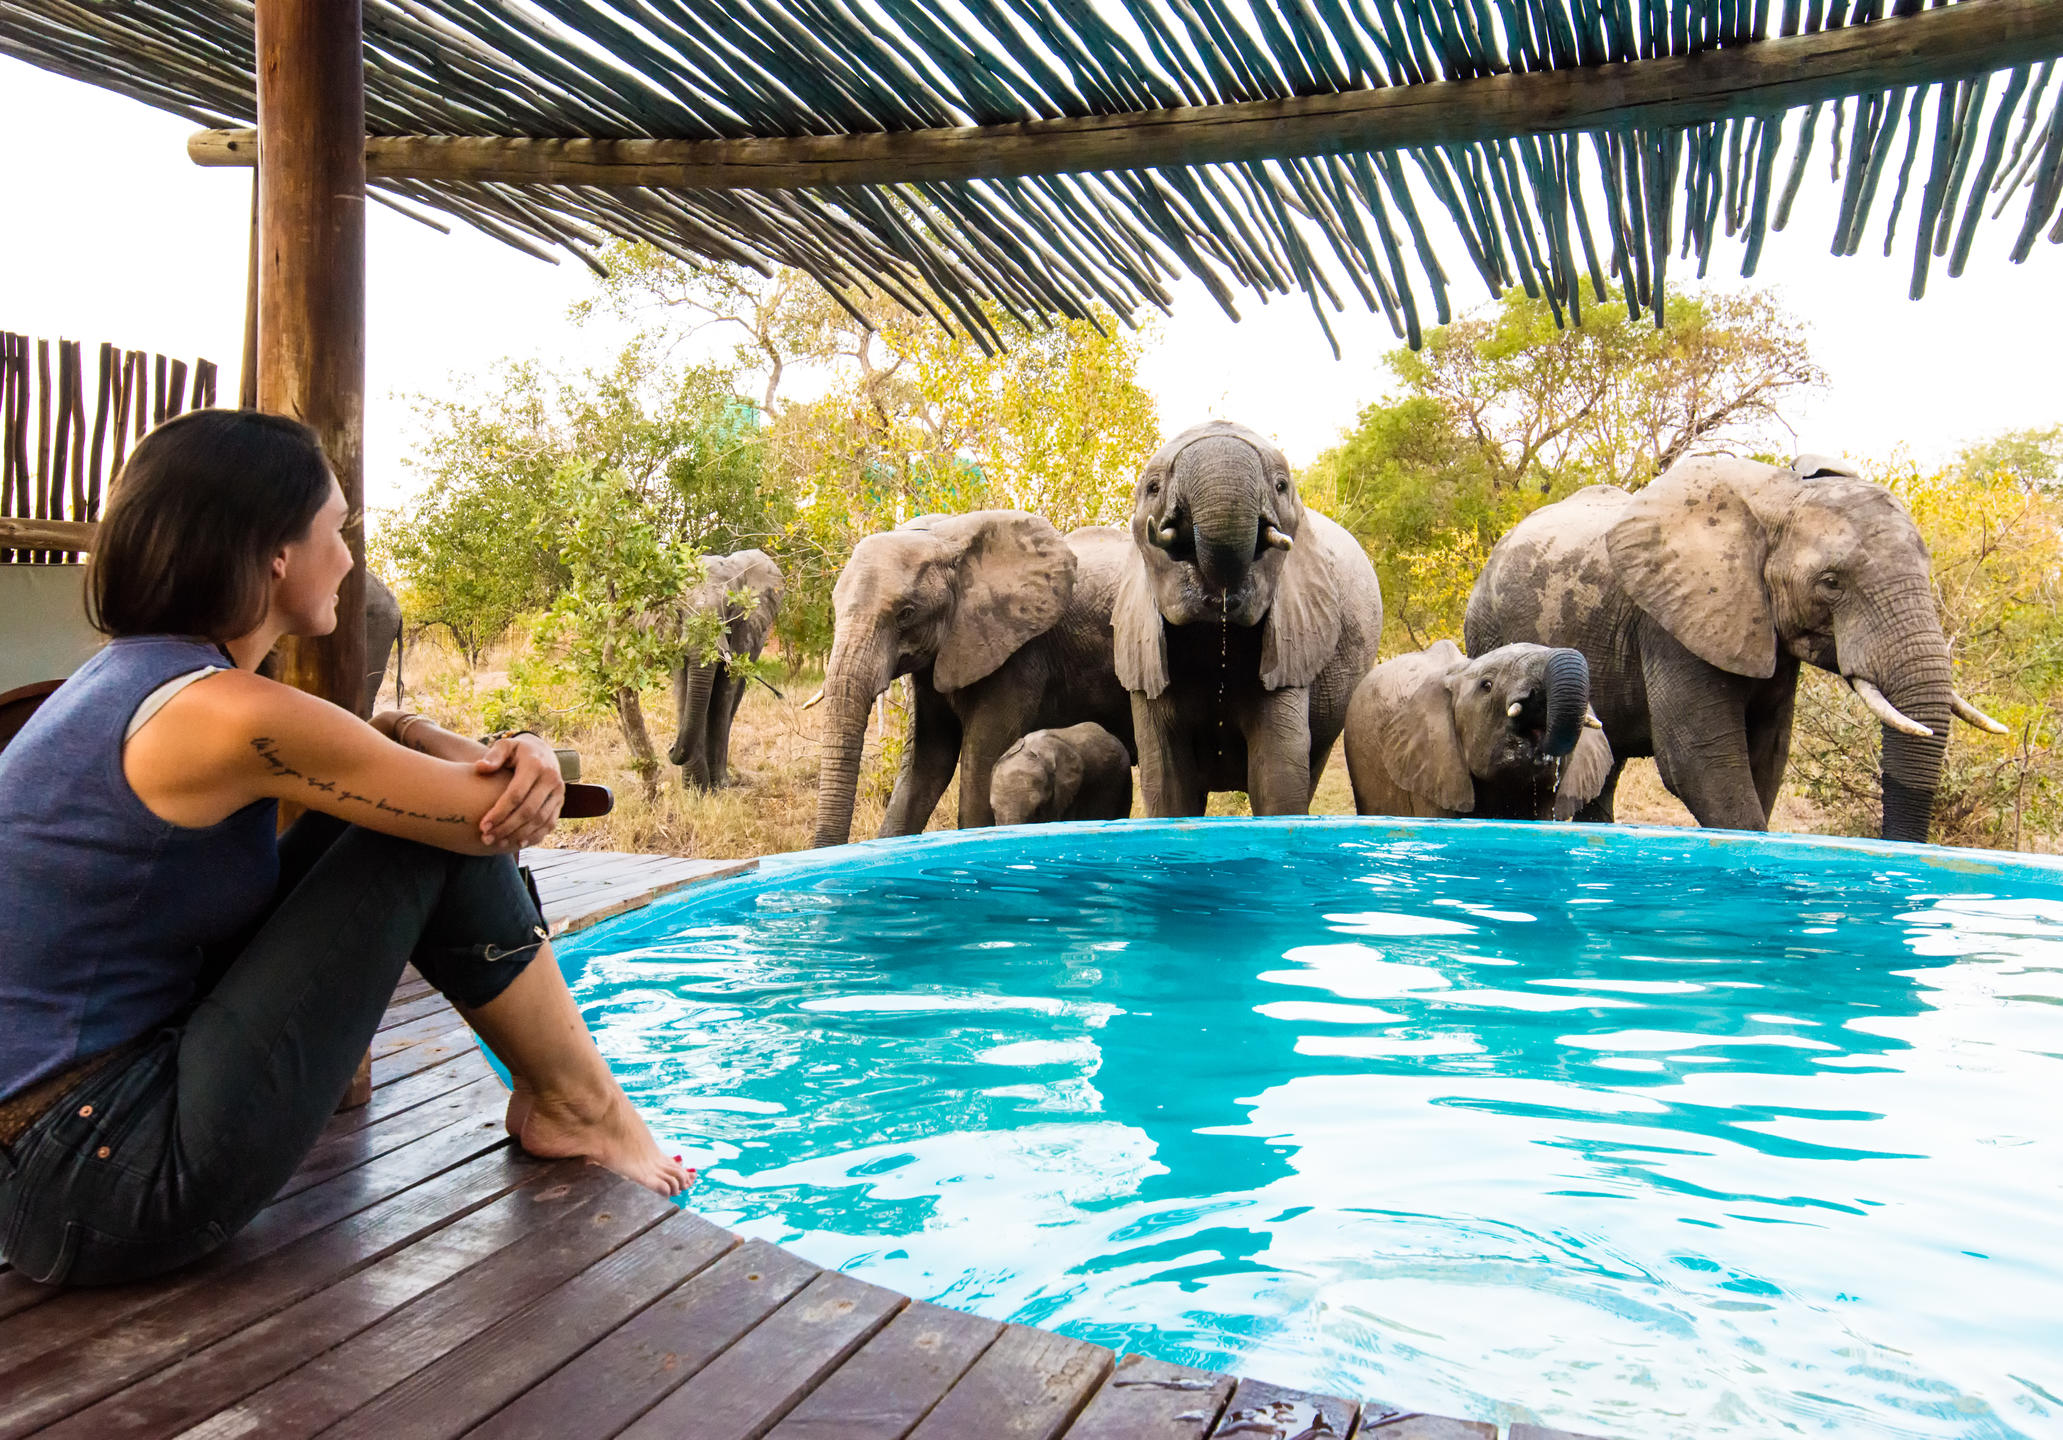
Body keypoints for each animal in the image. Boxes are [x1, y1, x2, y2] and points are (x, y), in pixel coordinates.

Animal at [668, 548, 783, 790]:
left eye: (730, 609)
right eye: (678, 611)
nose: (670, 747)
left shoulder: (744, 629)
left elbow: (724, 692)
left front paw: (718, 786)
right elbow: (683, 688)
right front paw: (694, 789)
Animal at [1463, 454, 2008, 842]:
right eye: (1832, 583)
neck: (1780, 498)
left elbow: (1767, 753)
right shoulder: (1672, 622)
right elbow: (1702, 760)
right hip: (1489, 629)